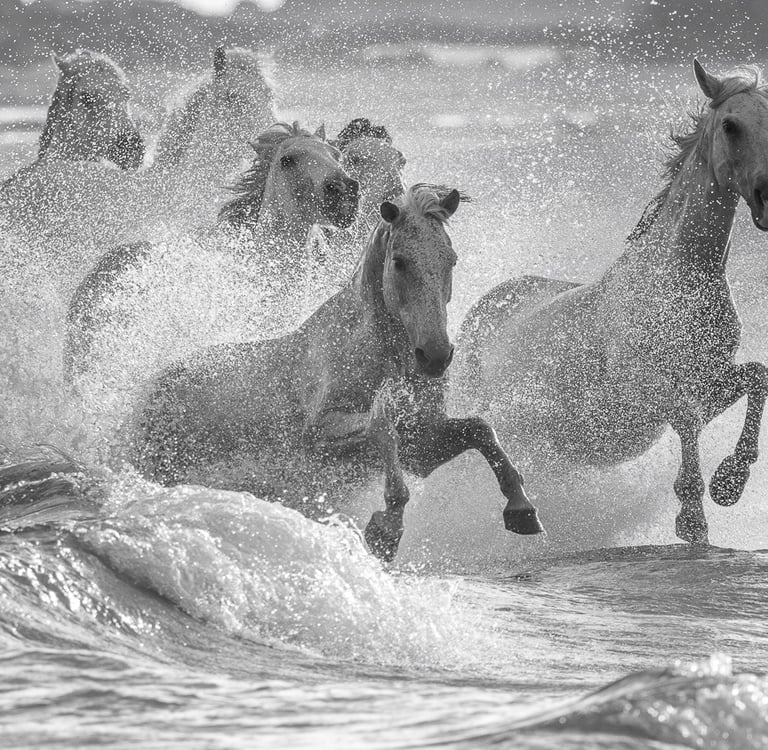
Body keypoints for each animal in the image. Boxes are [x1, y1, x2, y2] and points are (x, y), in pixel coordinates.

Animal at [133, 184, 544, 562]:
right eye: (400, 261)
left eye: (451, 260)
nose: (435, 356)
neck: (377, 356)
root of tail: (150, 390)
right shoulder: (319, 434)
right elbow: (382, 429)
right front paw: (386, 529)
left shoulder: (422, 445)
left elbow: (482, 430)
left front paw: (521, 509)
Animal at [452, 60, 768, 546]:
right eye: (731, 125)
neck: (677, 281)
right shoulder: (642, 390)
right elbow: (688, 416)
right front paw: (693, 515)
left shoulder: (709, 381)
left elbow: (757, 377)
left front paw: (729, 483)